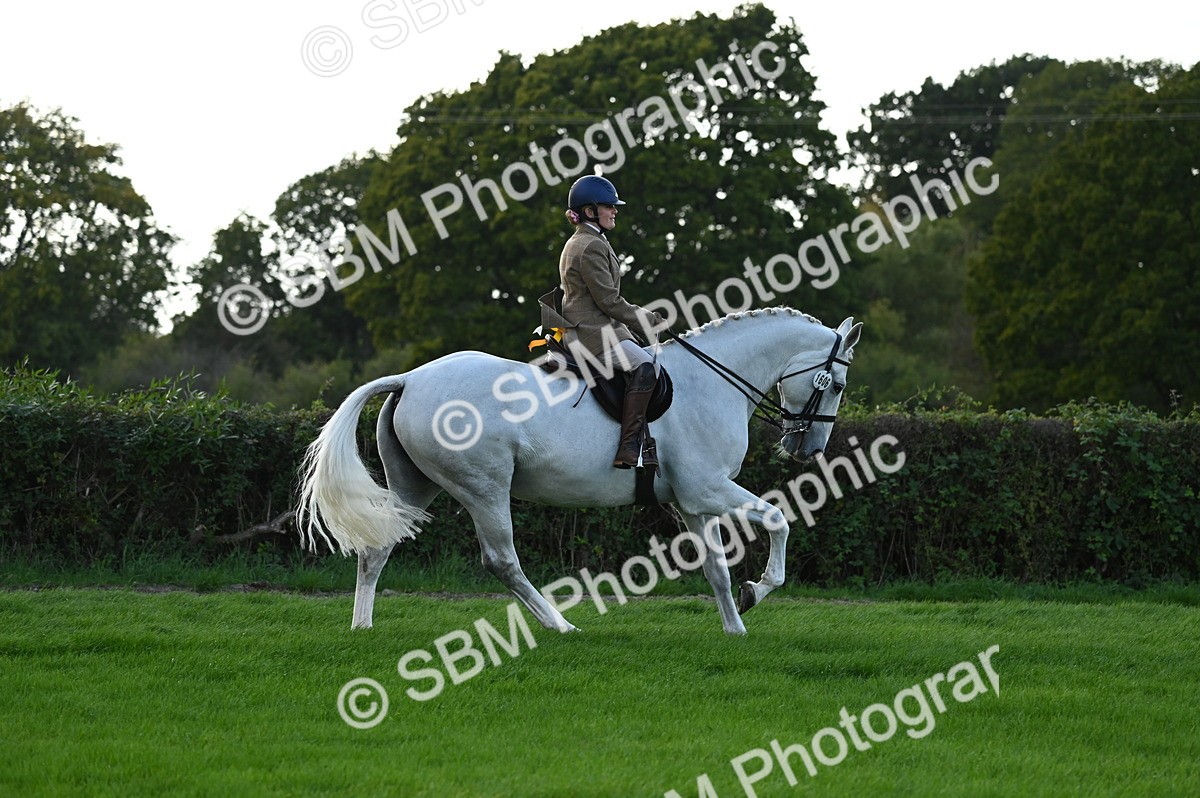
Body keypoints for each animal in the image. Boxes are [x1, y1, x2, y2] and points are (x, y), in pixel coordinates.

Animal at [298, 308, 861, 635]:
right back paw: (560, 625)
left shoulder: (693, 501)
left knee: (376, 549)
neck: (712, 381)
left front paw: (736, 629)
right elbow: (779, 520)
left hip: (414, 487)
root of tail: (411, 379)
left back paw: (362, 627)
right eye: (835, 385)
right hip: (484, 488)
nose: (807, 448)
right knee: (501, 561)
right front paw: (759, 590)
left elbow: (716, 570)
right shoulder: (710, 489)